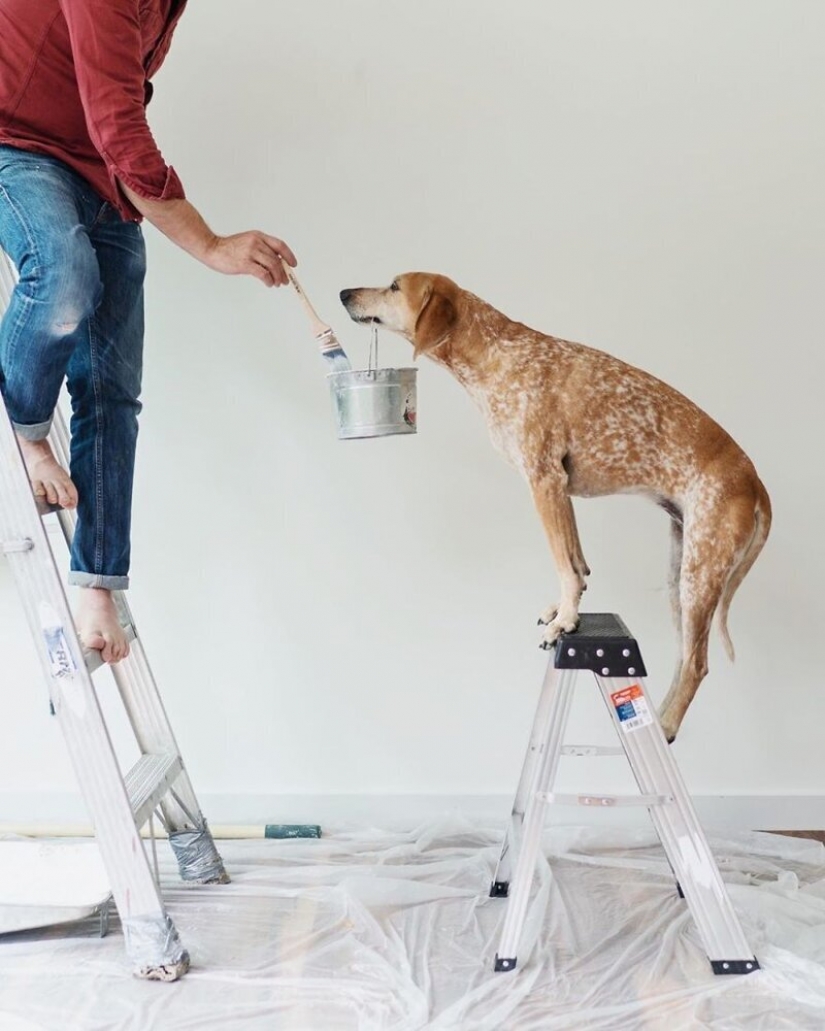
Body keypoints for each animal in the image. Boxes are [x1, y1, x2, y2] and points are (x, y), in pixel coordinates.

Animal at [338, 274, 771, 742]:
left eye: (395, 286)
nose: (343, 294)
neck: (496, 352)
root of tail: (755, 483)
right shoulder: (560, 493)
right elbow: (577, 563)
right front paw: (567, 608)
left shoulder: (544, 480)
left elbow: (565, 565)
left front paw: (565, 621)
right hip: (681, 575)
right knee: (683, 657)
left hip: (700, 575)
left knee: (697, 663)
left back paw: (668, 725)